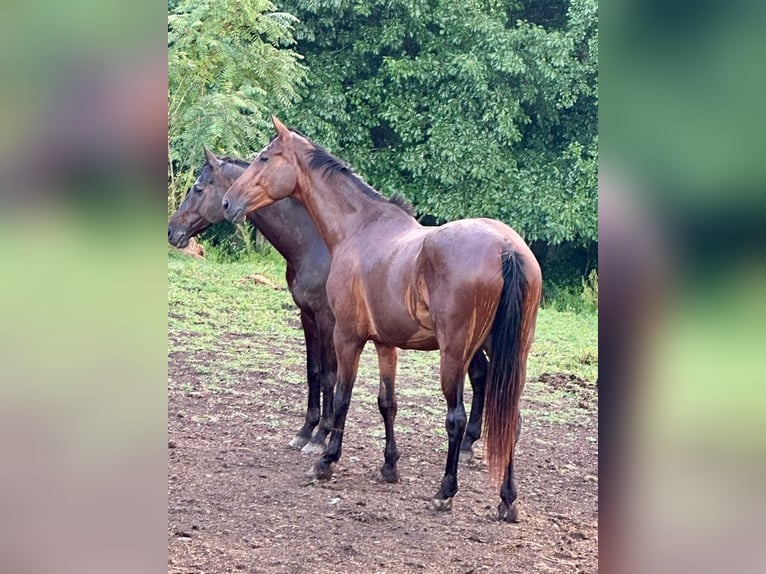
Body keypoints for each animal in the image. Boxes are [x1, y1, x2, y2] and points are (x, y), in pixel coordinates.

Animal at [222, 117, 544, 520]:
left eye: (265, 157)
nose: (228, 202)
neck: (359, 228)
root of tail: (506, 247)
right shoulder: (386, 344)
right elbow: (387, 402)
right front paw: (389, 465)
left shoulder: (346, 337)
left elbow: (341, 396)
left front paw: (326, 460)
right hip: (513, 355)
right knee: (510, 419)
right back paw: (507, 499)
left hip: (455, 355)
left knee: (456, 418)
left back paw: (445, 492)